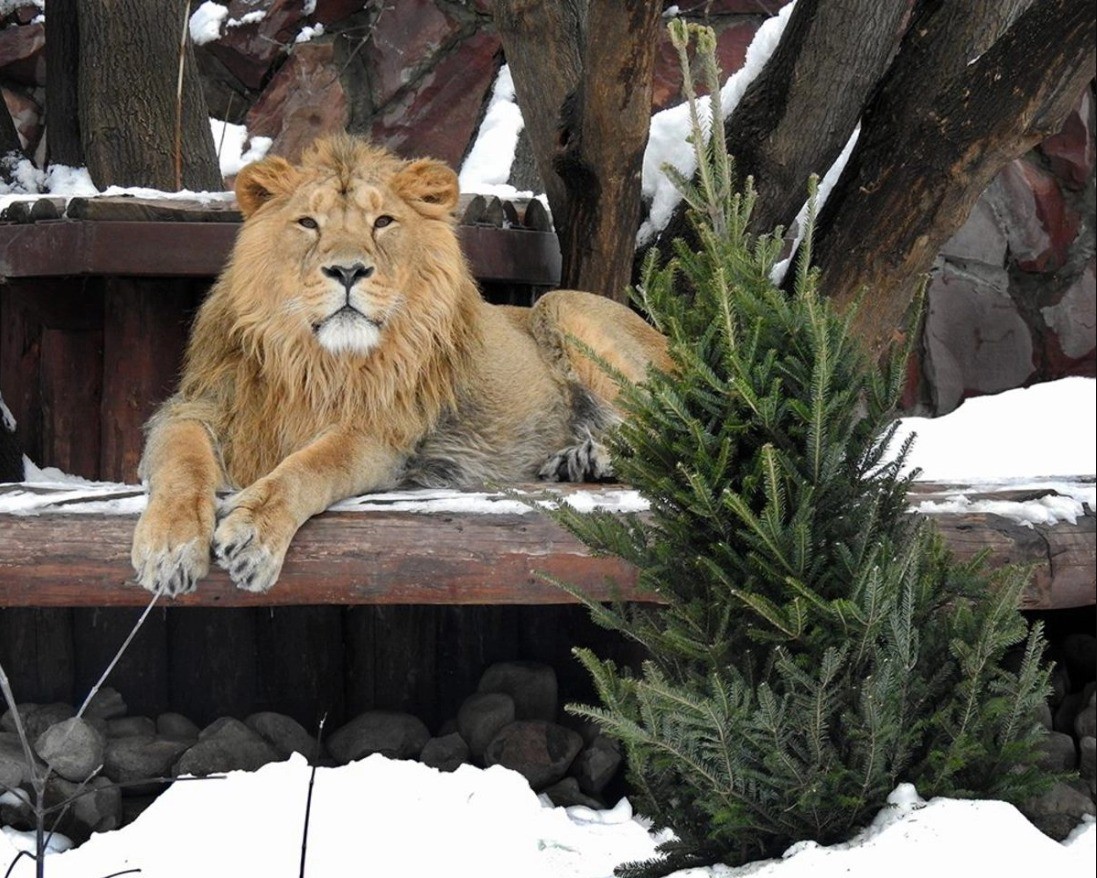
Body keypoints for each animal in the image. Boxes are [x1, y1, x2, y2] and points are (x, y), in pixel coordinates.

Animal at [133, 132, 671, 597]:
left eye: (382, 222)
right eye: (308, 223)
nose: (348, 271)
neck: (318, 362)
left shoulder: (379, 433)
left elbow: (311, 465)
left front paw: (253, 534)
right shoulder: (198, 406)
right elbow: (181, 462)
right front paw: (169, 548)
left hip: (562, 306)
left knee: (675, 432)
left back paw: (590, 457)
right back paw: (576, 460)